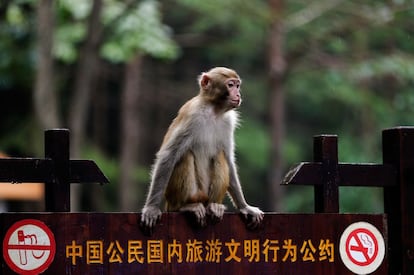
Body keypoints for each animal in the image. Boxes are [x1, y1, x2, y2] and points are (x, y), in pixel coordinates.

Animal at [142, 67, 264, 233]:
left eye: (238, 86)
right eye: (230, 85)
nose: (238, 94)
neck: (214, 110)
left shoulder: (228, 122)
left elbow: (228, 158)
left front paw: (245, 207)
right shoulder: (192, 114)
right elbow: (169, 155)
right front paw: (151, 208)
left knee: (220, 155)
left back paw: (213, 206)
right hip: (176, 195)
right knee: (185, 155)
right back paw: (186, 207)